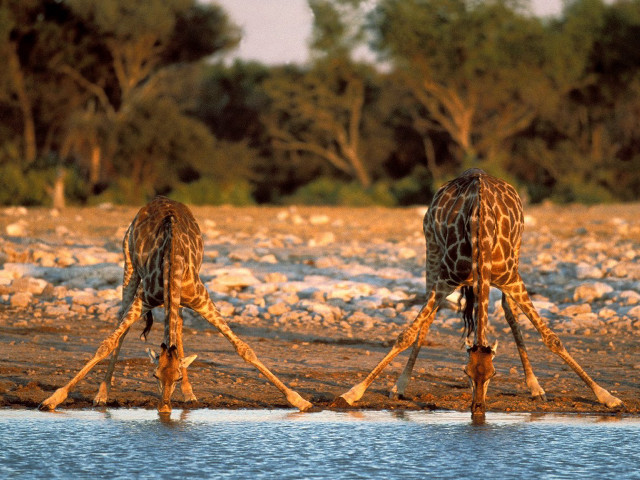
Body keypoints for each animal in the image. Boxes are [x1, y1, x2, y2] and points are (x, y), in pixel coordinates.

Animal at [39, 196, 312, 413]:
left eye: (178, 377)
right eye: (154, 375)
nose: (164, 408)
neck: (172, 262)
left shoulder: (202, 299)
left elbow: (244, 349)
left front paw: (300, 400)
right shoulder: (144, 299)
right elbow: (107, 344)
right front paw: (53, 400)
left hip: (175, 296)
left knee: (178, 325)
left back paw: (190, 395)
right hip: (129, 265)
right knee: (122, 323)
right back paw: (102, 395)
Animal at [332, 169, 623, 415]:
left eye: (493, 374)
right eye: (465, 373)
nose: (478, 409)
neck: (481, 234)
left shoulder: (512, 279)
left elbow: (552, 339)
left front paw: (607, 396)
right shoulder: (445, 280)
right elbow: (407, 334)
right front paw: (353, 393)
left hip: (517, 252)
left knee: (509, 310)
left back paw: (535, 387)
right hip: (431, 249)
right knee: (428, 317)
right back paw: (400, 386)